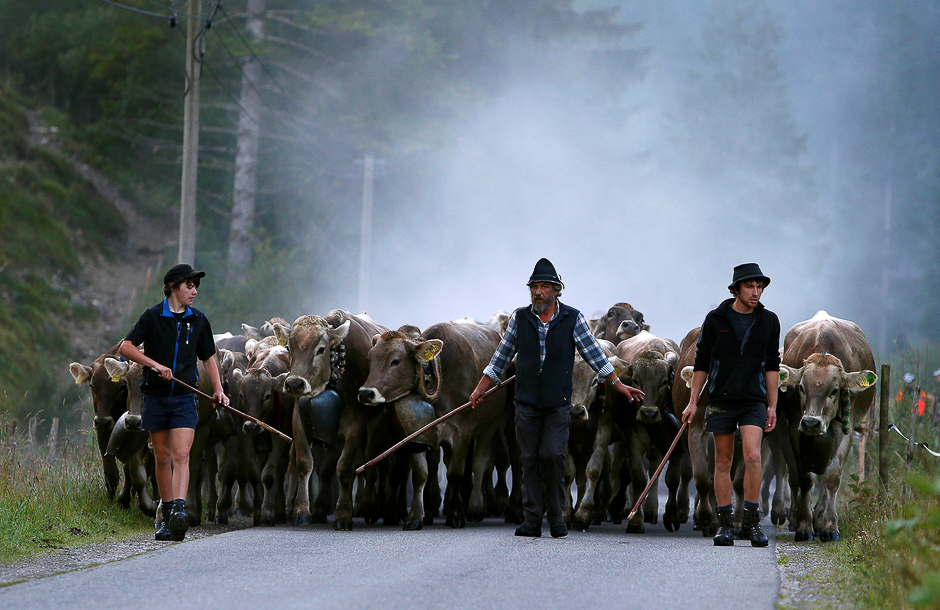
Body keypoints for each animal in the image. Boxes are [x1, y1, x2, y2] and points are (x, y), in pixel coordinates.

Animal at [278, 308, 388, 528]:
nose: (294, 384)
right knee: (326, 468)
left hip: (374, 428)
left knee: (370, 463)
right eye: (289, 347)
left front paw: (344, 514)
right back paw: (320, 507)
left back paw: (369, 507)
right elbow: (306, 464)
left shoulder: (355, 427)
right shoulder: (299, 422)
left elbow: (345, 468)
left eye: (321, 349)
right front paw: (302, 511)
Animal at [360, 320, 506, 524]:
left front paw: (456, 513)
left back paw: (476, 508)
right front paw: (415, 517)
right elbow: (421, 474)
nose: (366, 393)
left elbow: (455, 473)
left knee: (479, 464)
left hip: (489, 426)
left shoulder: (463, 432)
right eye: (370, 358)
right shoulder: (418, 432)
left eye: (396, 361)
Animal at [776, 312, 876, 540]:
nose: (811, 423)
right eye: (801, 388)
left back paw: (820, 517)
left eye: (834, 390)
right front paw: (804, 525)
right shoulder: (795, 426)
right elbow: (805, 477)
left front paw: (829, 525)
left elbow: (831, 477)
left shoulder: (846, 428)